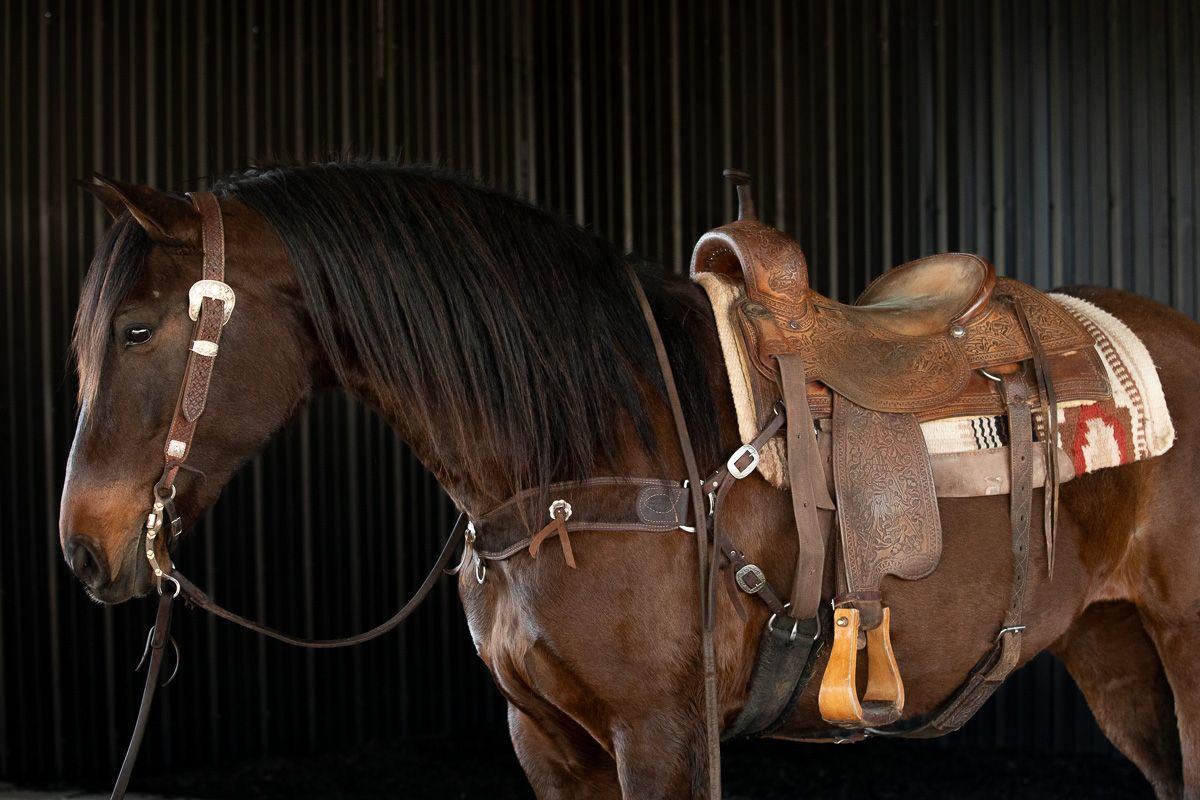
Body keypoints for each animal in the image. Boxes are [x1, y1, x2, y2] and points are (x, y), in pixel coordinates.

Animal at [58, 160, 1200, 799]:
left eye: (138, 328)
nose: (84, 545)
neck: (580, 455)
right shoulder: (549, 742)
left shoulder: (663, 733)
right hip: (1116, 652)